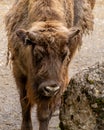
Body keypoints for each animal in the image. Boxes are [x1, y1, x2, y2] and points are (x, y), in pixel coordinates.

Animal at [5, 0, 95, 130]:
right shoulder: (19, 71)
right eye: (37, 53)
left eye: (64, 54)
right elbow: (24, 102)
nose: (51, 88)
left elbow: (44, 113)